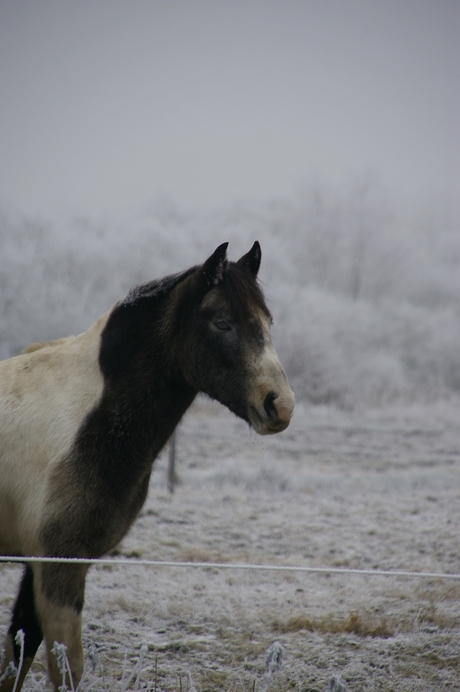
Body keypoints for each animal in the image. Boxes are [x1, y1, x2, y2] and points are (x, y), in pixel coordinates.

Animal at [0, 241, 294, 688]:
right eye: (222, 322)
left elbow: (16, 657)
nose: (280, 404)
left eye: (267, 322)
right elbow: (66, 668)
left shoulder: (39, 567)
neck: (87, 420)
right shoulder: (59, 565)